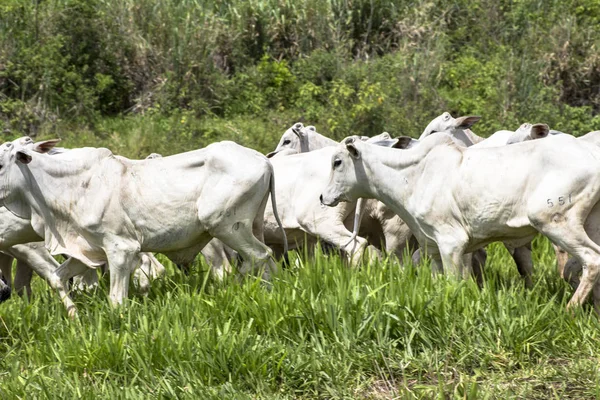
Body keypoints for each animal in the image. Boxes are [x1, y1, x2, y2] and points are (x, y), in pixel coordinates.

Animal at [0, 138, 288, 306]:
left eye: (0, 162)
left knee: (257, 256)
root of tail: (264, 160)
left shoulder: (121, 249)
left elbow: (116, 299)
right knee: (266, 261)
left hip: (226, 226)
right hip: (251, 226)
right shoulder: (89, 250)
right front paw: (73, 317)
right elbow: (57, 278)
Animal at [322, 134, 600, 312]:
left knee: (592, 259)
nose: (323, 197)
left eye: (337, 161)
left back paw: (569, 310)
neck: (414, 176)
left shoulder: (451, 243)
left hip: (554, 220)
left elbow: (454, 284)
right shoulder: (433, 248)